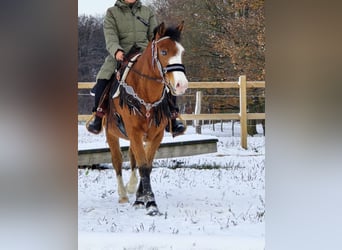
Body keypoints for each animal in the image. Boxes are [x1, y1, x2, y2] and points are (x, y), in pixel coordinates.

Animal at [105, 22, 190, 215]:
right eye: (164, 52)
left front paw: (140, 197)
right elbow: (143, 165)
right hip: (111, 134)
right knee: (117, 161)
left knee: (133, 158)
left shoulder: (156, 135)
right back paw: (123, 194)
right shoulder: (134, 132)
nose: (181, 85)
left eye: (181, 52)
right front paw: (149, 202)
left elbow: (147, 165)